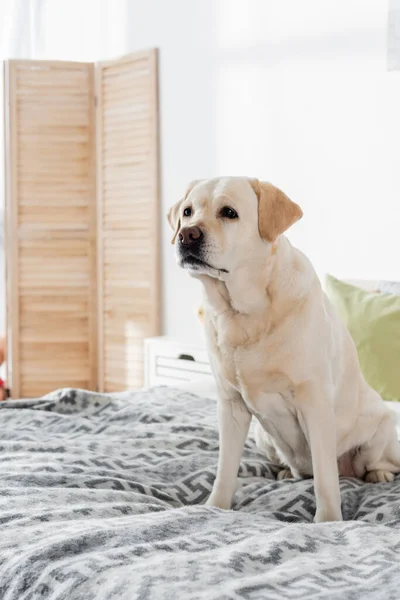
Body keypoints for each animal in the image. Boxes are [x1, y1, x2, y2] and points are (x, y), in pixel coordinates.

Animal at [166, 177, 400, 520]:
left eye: (229, 212)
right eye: (187, 212)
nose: (187, 234)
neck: (244, 313)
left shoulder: (314, 403)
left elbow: (325, 479)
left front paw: (328, 520)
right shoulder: (230, 406)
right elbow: (225, 469)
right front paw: (215, 508)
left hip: (379, 428)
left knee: (373, 463)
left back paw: (378, 473)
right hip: (263, 437)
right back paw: (289, 472)